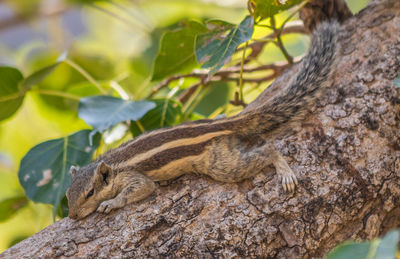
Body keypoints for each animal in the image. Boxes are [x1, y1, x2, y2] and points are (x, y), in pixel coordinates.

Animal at [67, 20, 340, 220]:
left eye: (90, 193)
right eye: (68, 194)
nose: (72, 216)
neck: (112, 164)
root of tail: (223, 125)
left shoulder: (133, 177)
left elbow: (142, 188)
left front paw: (111, 203)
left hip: (221, 164)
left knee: (268, 150)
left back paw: (282, 169)